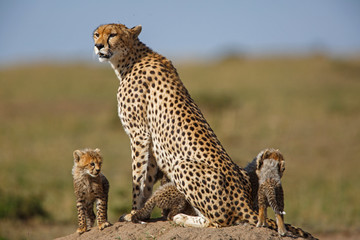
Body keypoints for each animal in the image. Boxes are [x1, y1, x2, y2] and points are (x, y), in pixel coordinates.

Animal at [92, 23, 316, 238]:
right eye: (96, 34)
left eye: (112, 35)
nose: (98, 46)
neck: (130, 58)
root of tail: (243, 199)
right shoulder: (150, 141)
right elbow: (146, 181)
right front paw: (141, 213)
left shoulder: (139, 134)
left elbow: (137, 177)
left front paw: (132, 213)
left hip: (182, 166)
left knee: (218, 222)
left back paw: (182, 218)